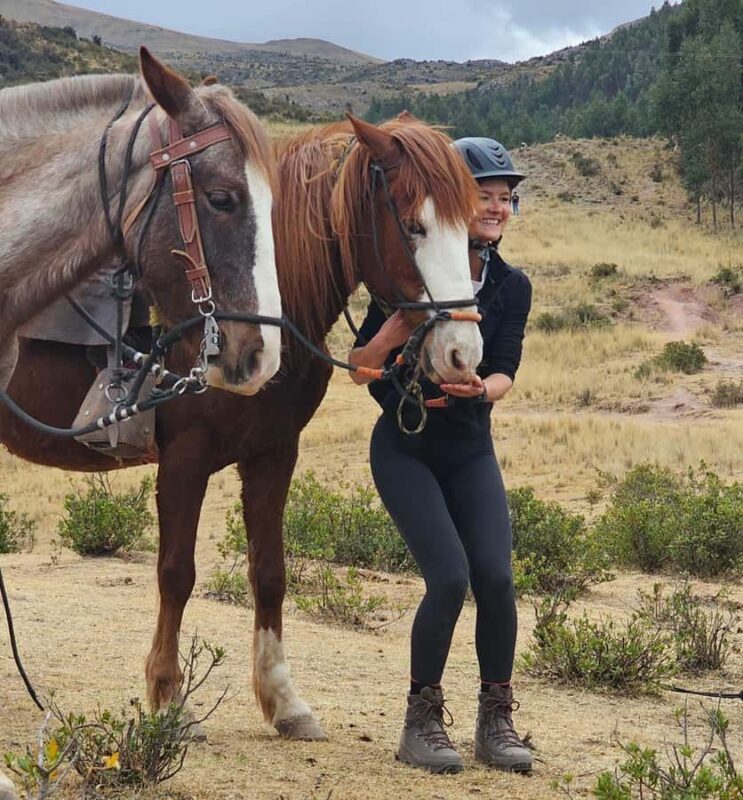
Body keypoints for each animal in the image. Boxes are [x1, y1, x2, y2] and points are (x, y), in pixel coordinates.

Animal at [0, 114, 482, 776]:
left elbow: (270, 572)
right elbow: (176, 574)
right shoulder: (186, 460)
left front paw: (284, 701)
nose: (465, 354)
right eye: (413, 225)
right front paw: (170, 700)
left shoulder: (273, 455)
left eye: (472, 232)